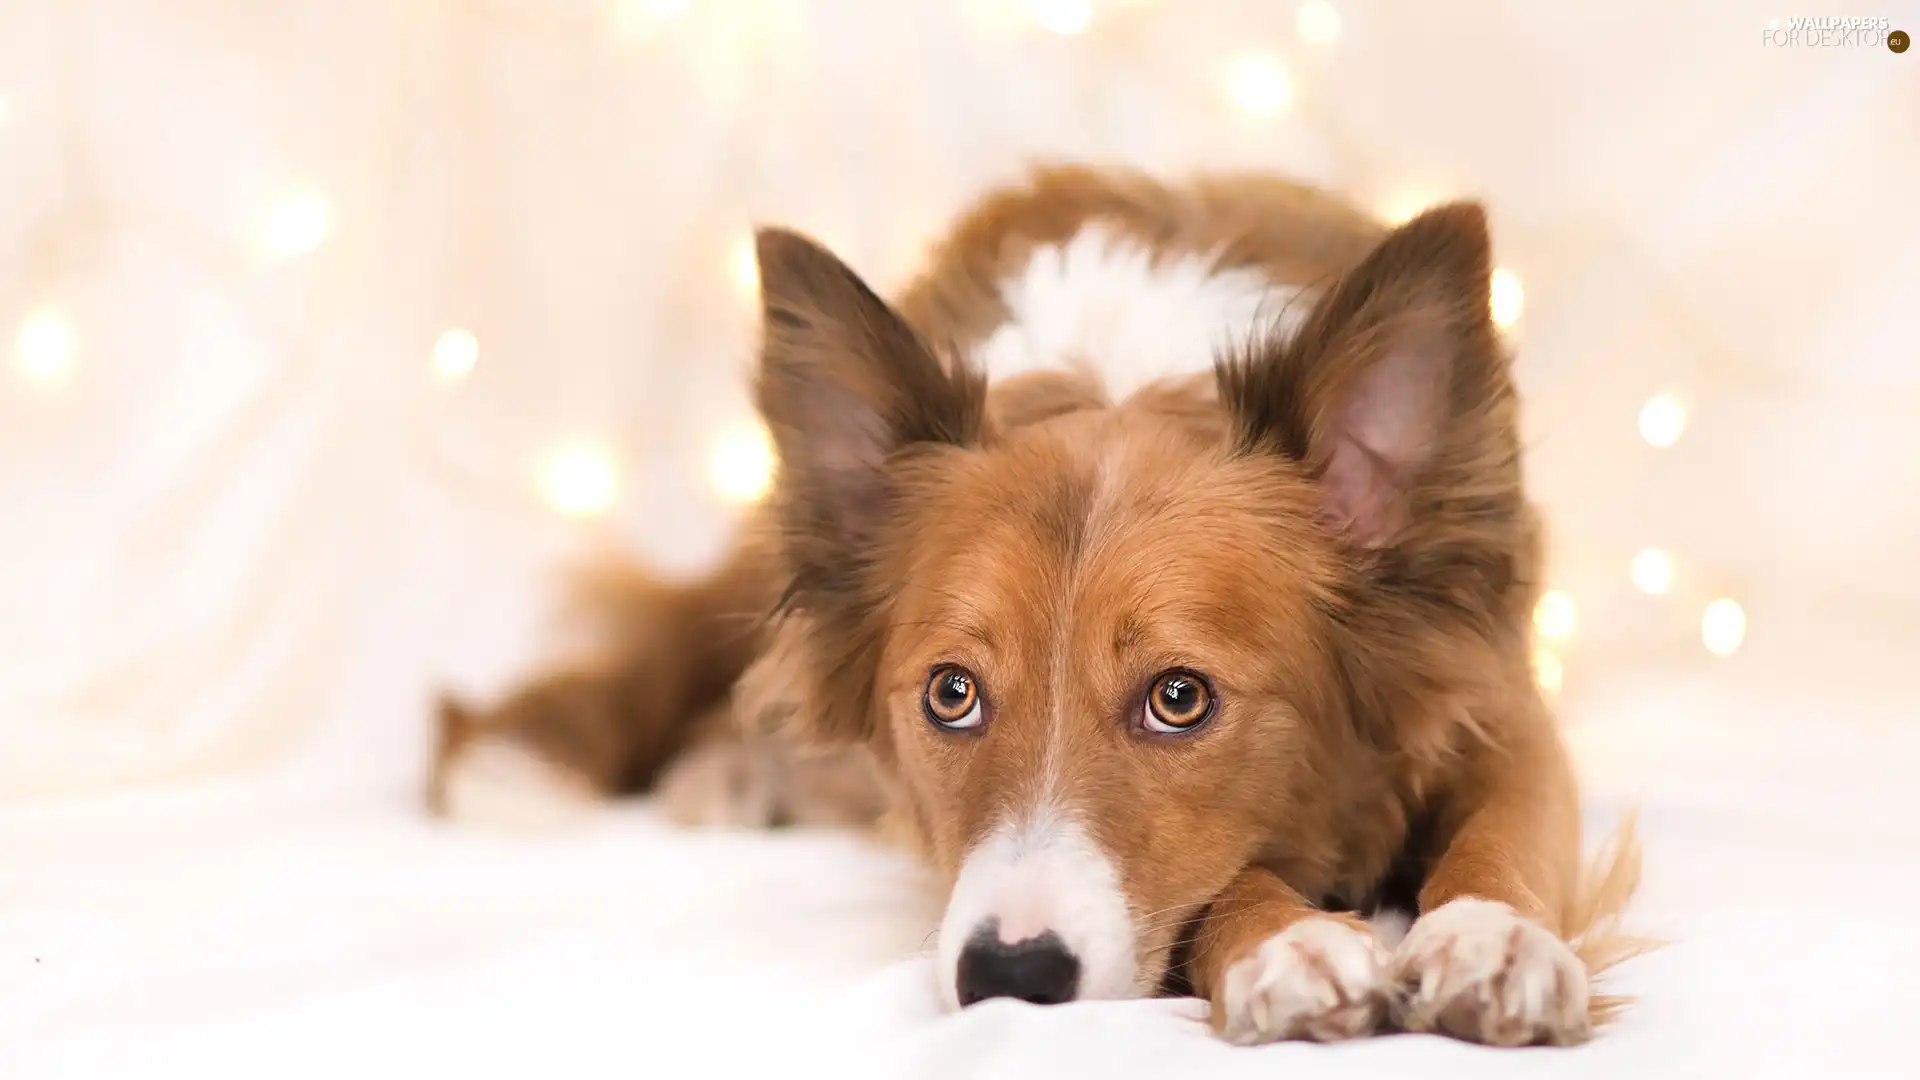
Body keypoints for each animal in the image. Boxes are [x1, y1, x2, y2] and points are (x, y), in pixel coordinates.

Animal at [428, 166, 1643, 1045]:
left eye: (1180, 697)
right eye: (951, 695)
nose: (1008, 974)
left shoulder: (1498, 702)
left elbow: (1507, 835)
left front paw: (1490, 939)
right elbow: (1227, 882)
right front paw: (1287, 945)